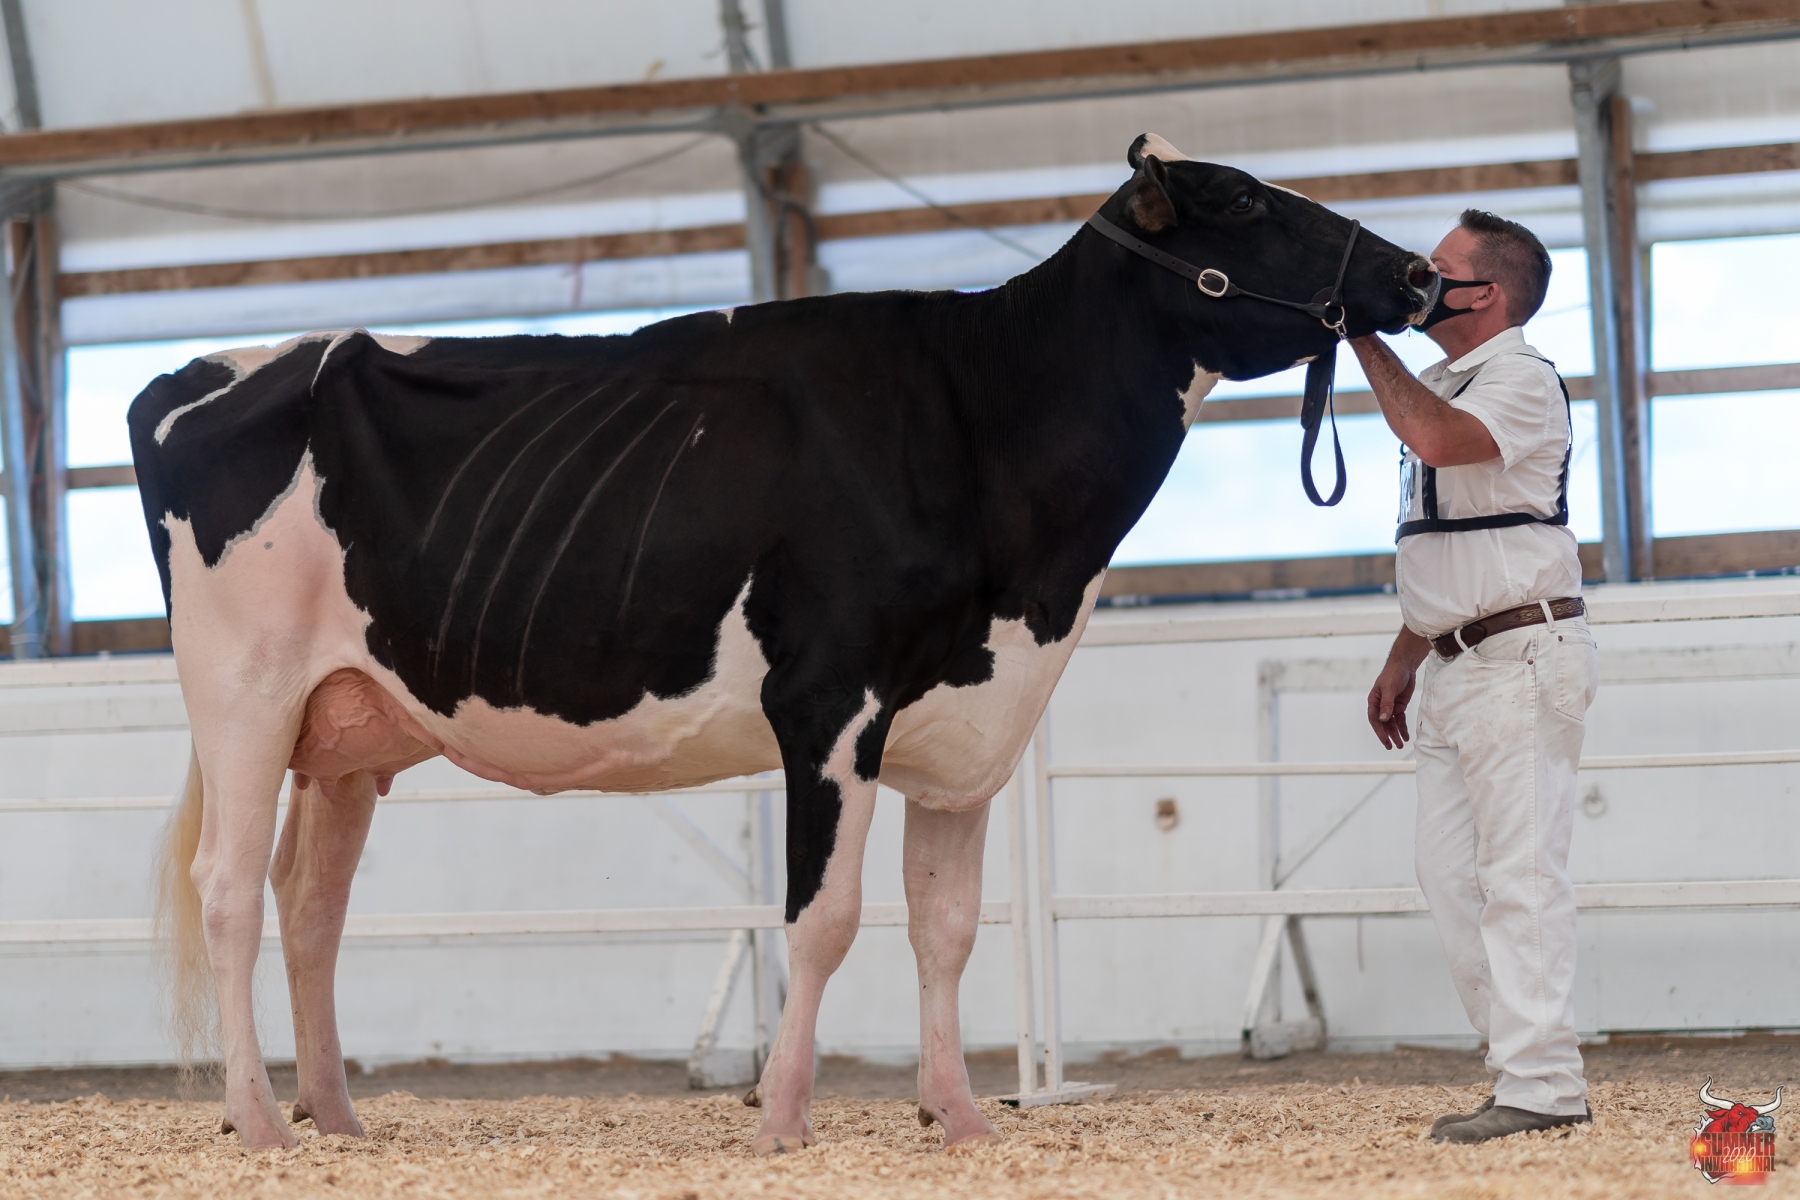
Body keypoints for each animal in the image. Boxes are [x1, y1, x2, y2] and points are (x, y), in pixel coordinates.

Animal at [129, 133, 1435, 1153]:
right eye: (1250, 202)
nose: (1418, 272)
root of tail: (214, 370)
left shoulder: (969, 725)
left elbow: (948, 928)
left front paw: (959, 1119)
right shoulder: (829, 701)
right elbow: (827, 919)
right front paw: (785, 1117)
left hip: (344, 724)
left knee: (310, 905)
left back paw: (340, 1120)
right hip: (242, 693)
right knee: (230, 892)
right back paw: (258, 1123)